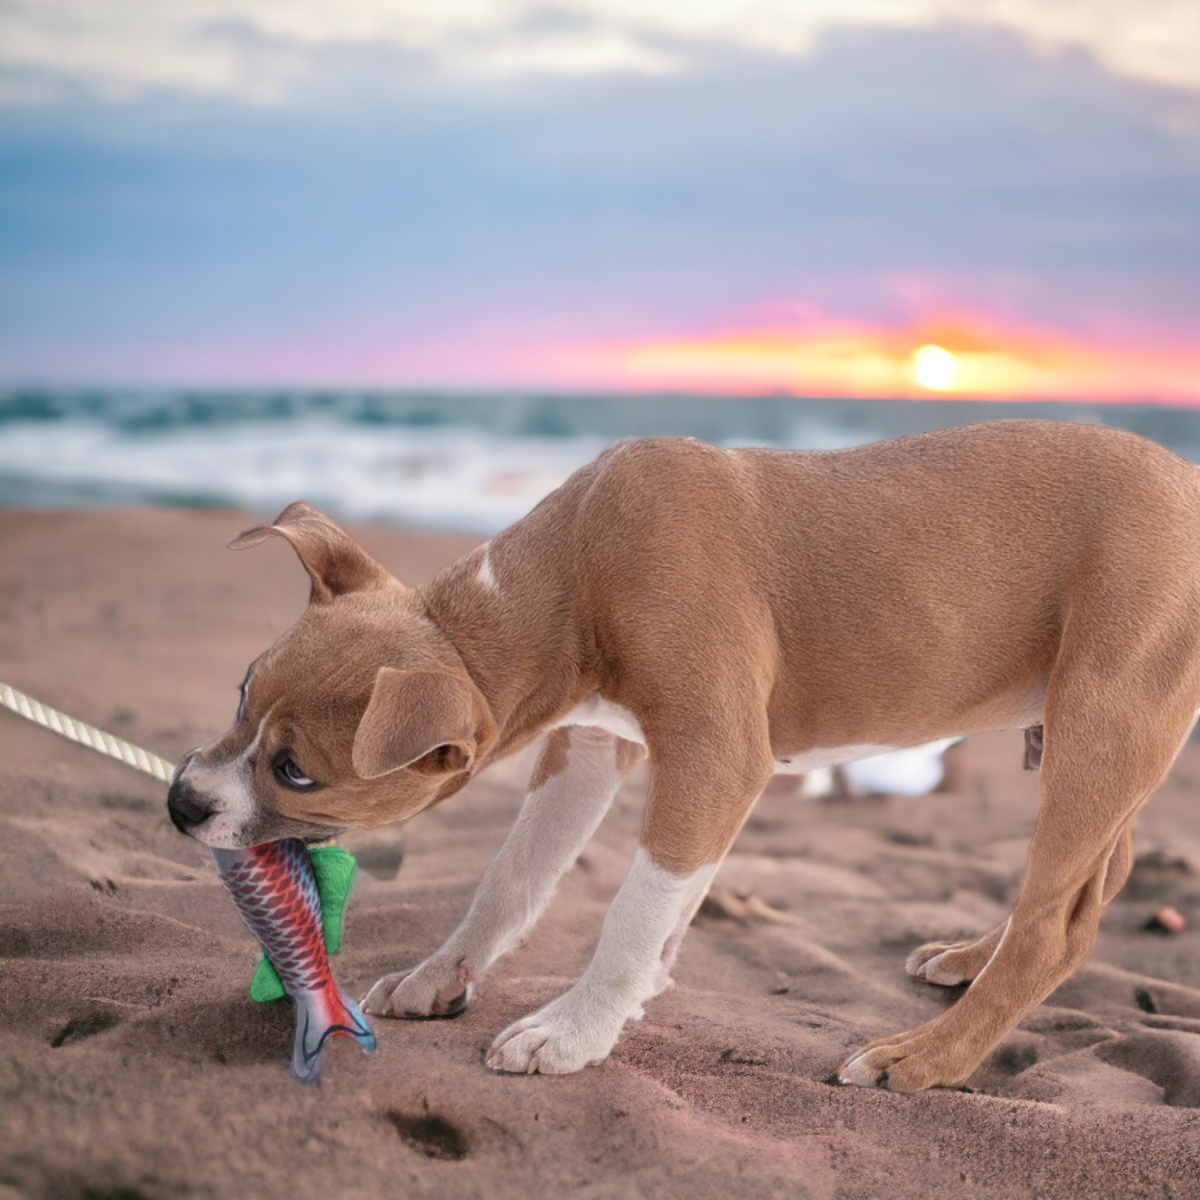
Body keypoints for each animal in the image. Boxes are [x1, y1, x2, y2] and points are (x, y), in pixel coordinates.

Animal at [166, 424, 1200, 1099]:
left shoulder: (717, 756)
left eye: (298, 773)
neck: (566, 578)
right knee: (1090, 880)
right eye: (241, 694)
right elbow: (516, 875)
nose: (180, 802)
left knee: (1057, 924)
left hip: (1105, 722)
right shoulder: (588, 747)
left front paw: (573, 1031)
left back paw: (925, 1058)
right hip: (1084, 734)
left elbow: (634, 902)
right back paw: (968, 962)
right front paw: (444, 972)